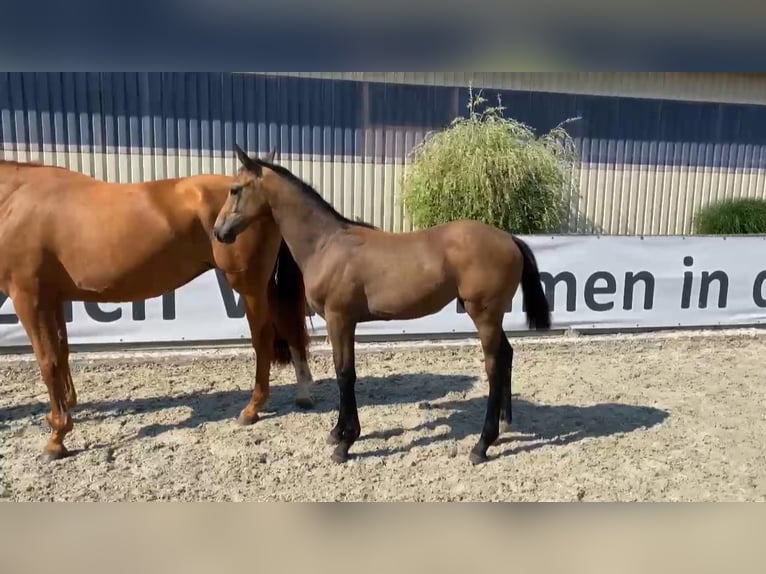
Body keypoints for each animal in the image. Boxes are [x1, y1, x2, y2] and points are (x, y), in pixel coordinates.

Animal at [0, 154, 316, 464]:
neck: (14, 200)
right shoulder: (52, 299)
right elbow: (62, 354)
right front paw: (64, 411)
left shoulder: (28, 297)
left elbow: (48, 362)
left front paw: (57, 438)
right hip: (264, 285)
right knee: (289, 330)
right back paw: (303, 395)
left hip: (249, 285)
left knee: (262, 339)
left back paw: (252, 408)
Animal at [214, 146, 552, 466]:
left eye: (235, 189)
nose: (219, 232)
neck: (326, 244)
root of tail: (509, 239)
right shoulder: (346, 323)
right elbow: (344, 371)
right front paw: (337, 432)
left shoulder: (339, 319)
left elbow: (345, 374)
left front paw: (345, 443)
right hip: (493, 317)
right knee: (506, 356)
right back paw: (505, 423)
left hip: (484, 316)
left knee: (493, 366)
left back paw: (482, 445)